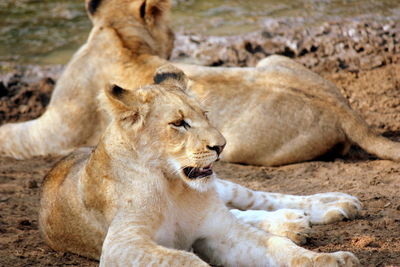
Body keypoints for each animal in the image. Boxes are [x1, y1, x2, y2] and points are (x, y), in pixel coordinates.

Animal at [0, 0, 398, 168]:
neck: (119, 37)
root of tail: (347, 111)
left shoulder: (54, 131)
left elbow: (11, 136)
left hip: (239, 147)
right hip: (271, 59)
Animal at [39, 66, 360, 266]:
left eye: (205, 115)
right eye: (179, 123)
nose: (221, 146)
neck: (173, 188)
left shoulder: (221, 232)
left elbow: (281, 248)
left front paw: (333, 260)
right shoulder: (121, 245)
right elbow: (184, 259)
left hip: (226, 188)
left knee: (259, 199)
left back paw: (335, 204)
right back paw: (293, 222)